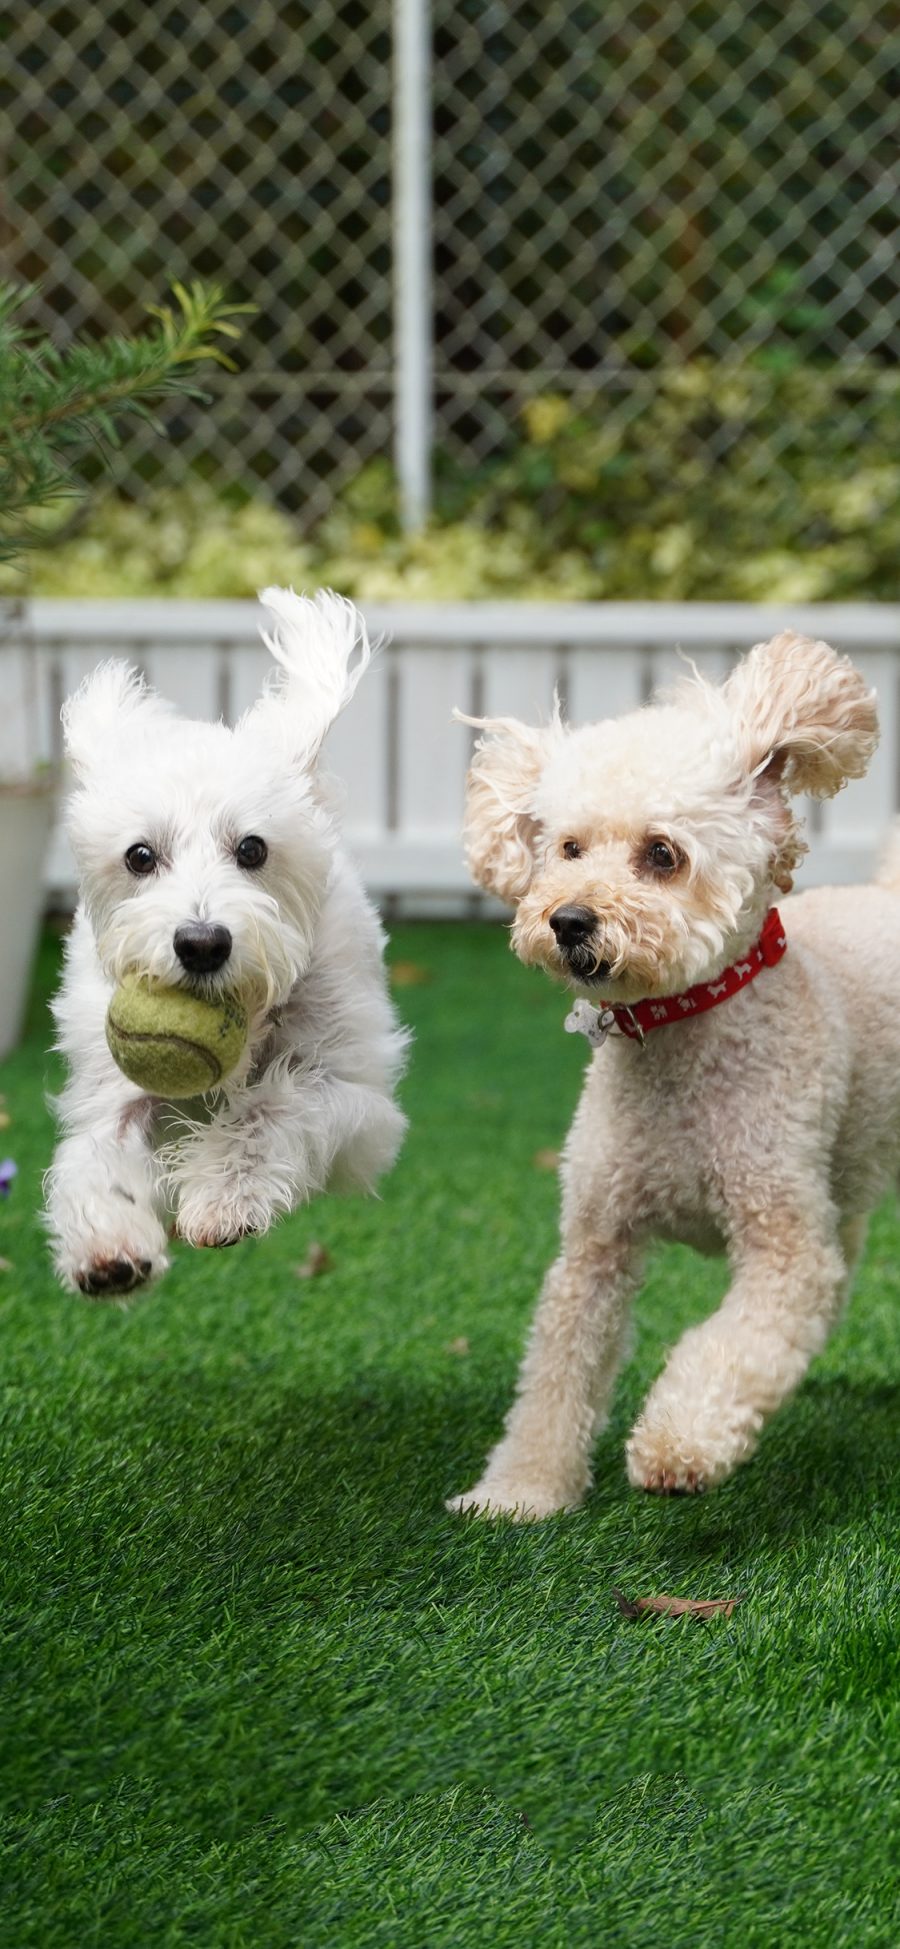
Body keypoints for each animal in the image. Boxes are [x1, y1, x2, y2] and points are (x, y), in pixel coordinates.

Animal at [45, 584, 405, 1301]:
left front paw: (223, 1196)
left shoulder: (360, 1098)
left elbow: (277, 1104)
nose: (202, 943)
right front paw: (109, 1247)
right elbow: (97, 1152)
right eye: (140, 856)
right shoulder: (109, 1087)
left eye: (253, 848)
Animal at [450, 631, 892, 1512]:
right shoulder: (595, 1243)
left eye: (662, 854)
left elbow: (732, 1346)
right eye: (567, 847)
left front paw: (678, 1443)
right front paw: (520, 1492)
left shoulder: (782, 1245)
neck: (680, 1041)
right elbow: (555, 1375)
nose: (569, 919)